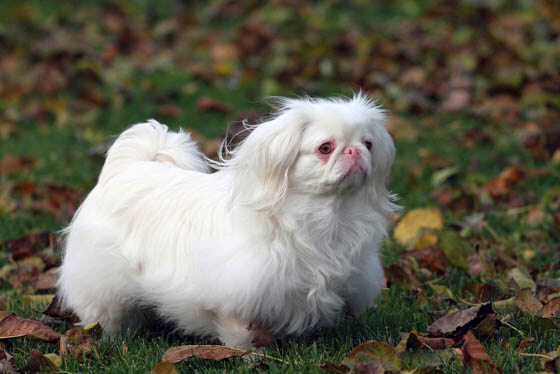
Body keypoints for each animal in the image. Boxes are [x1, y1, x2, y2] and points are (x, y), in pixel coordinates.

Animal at [55, 94, 398, 350]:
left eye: (368, 144)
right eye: (325, 148)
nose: (354, 152)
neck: (325, 214)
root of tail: (127, 168)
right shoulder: (241, 292)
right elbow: (241, 332)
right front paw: (250, 355)